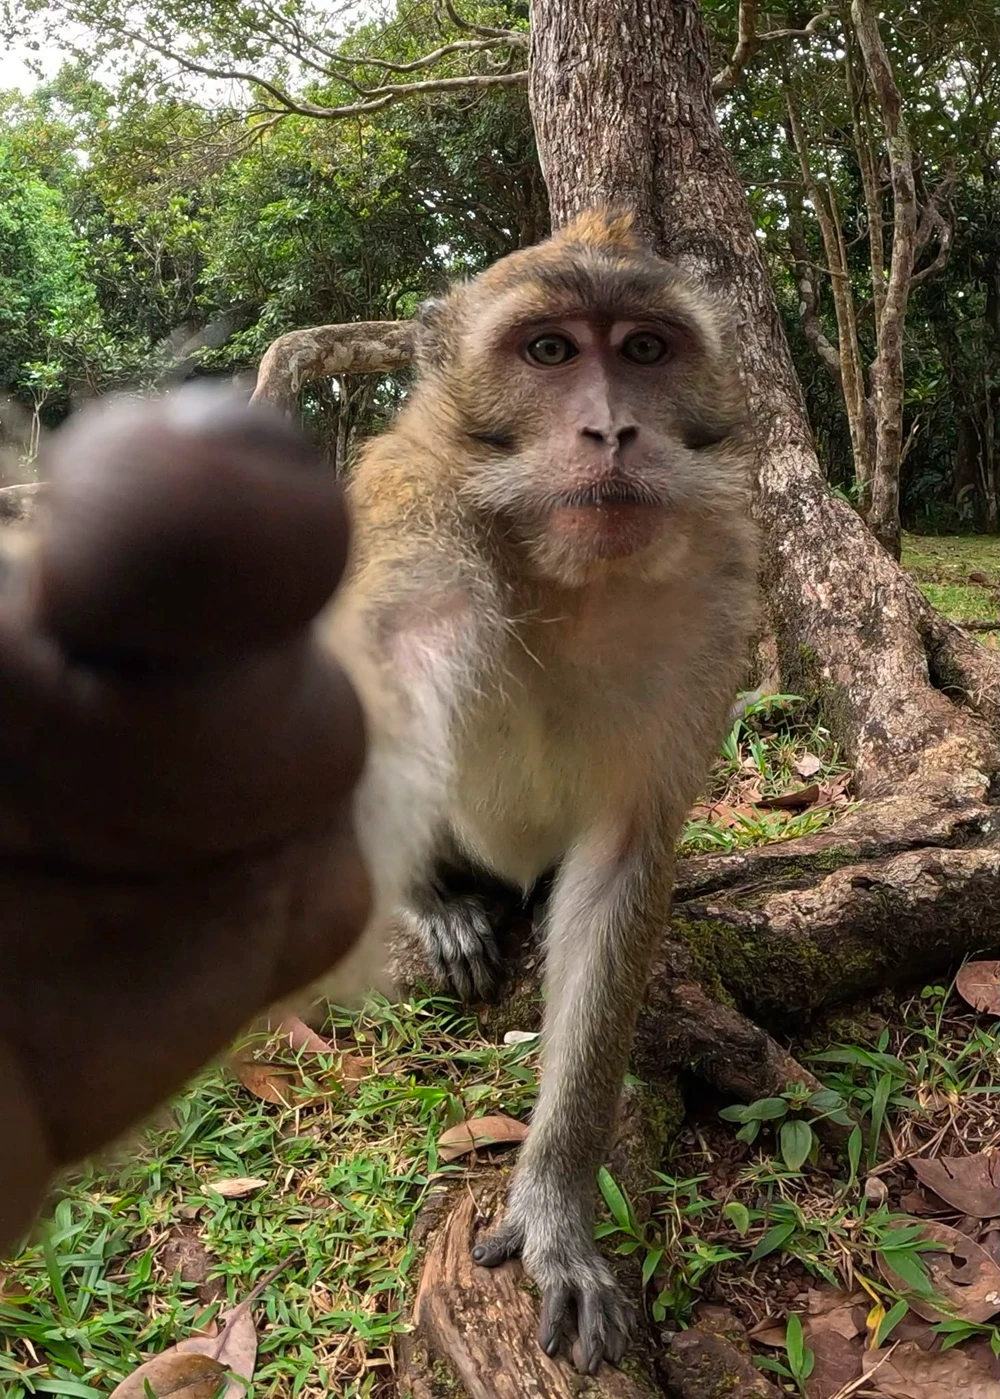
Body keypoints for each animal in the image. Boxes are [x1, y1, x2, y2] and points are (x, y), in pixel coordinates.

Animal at [319, 208, 759, 1374]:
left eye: (644, 350)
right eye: (551, 351)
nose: (612, 432)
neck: (568, 570)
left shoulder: (720, 589)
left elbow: (622, 861)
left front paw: (557, 1204)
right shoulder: (410, 507)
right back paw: (438, 901)